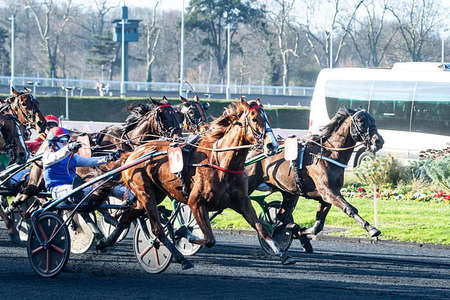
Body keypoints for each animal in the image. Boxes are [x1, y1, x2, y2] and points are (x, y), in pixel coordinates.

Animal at [96, 98, 298, 268]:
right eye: (255, 119)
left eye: (268, 118)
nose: (272, 145)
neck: (221, 161)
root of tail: (133, 153)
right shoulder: (196, 203)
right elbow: (209, 239)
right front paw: (184, 232)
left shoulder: (241, 201)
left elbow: (262, 228)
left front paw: (282, 254)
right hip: (145, 193)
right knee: (157, 229)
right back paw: (180, 258)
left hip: (152, 194)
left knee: (128, 215)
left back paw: (104, 242)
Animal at [246, 106, 384, 252]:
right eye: (360, 120)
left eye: (373, 120)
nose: (378, 141)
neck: (329, 154)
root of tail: (252, 148)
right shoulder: (328, 192)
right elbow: (350, 209)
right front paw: (372, 229)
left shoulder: (325, 196)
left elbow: (318, 226)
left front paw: (302, 234)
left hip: (289, 192)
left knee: (282, 216)